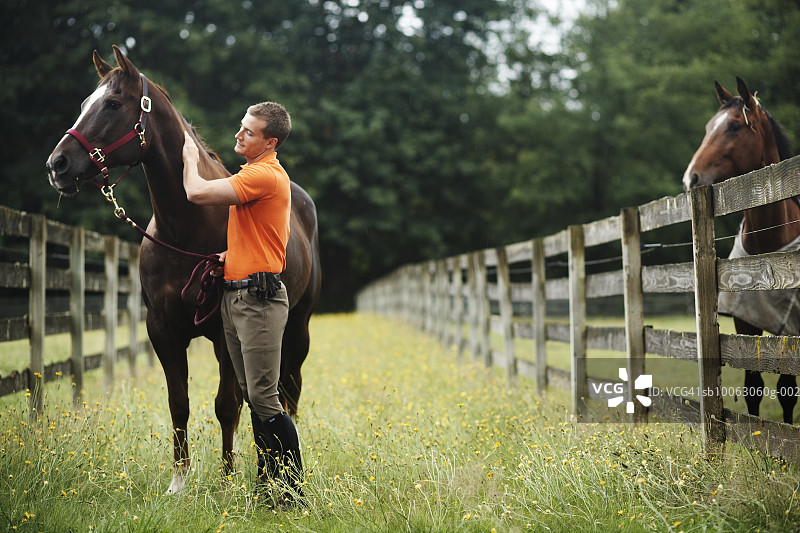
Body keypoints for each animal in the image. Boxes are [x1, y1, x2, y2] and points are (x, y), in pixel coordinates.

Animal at [46, 46, 321, 493]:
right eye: (85, 103)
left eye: (113, 103)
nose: (58, 165)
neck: (187, 228)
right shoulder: (163, 330)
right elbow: (180, 403)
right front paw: (179, 481)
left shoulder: (226, 332)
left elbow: (226, 405)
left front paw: (226, 479)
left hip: (297, 326)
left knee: (287, 390)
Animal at [683, 77, 797, 424]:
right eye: (709, 127)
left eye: (734, 126)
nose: (690, 179)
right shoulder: (746, 323)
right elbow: (753, 388)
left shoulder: (790, 327)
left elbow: (787, 389)